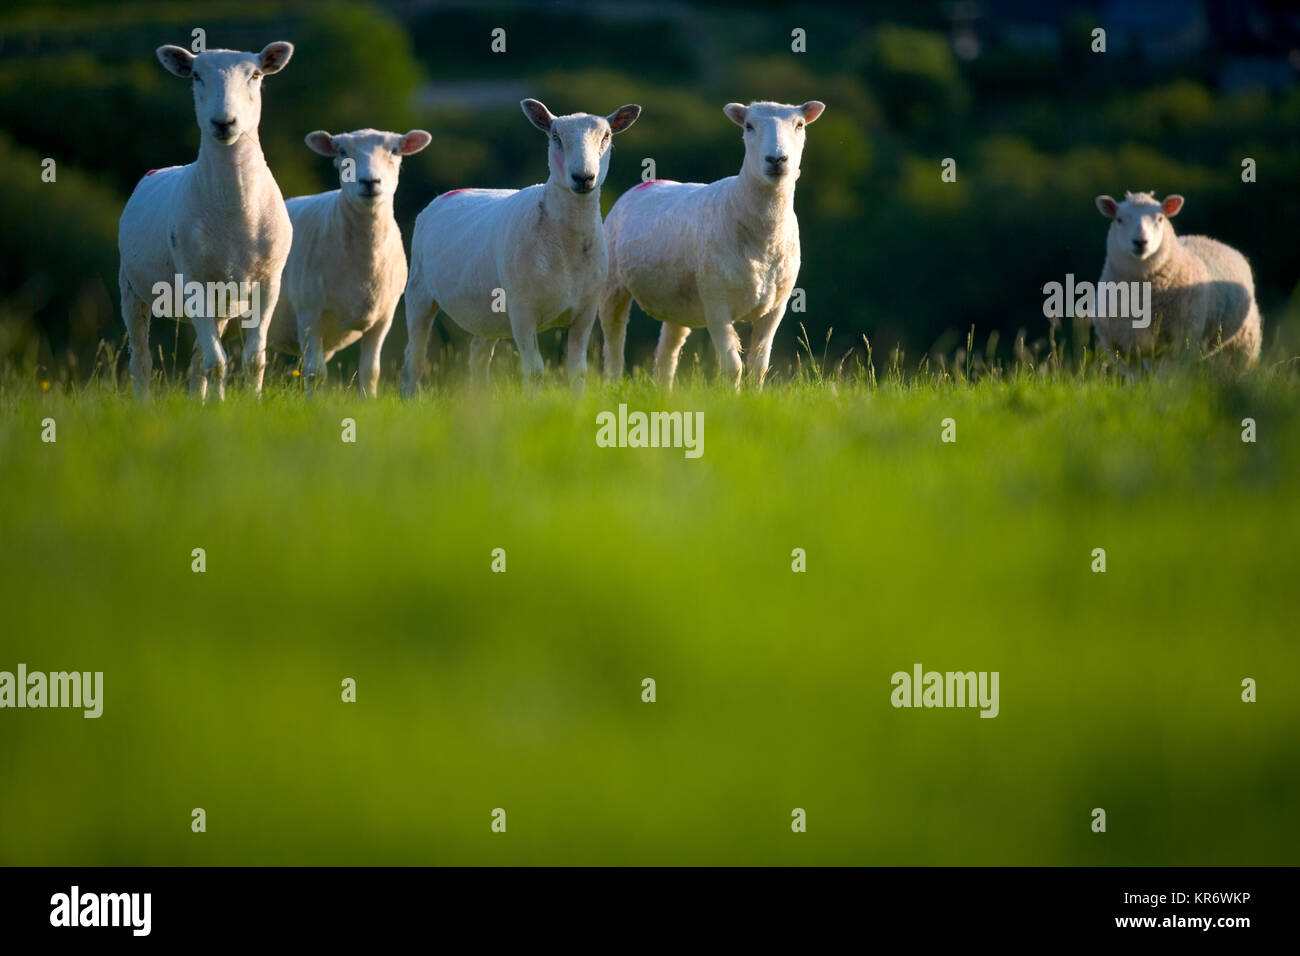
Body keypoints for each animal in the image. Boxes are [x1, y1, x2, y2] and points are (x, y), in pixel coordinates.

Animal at [117, 42, 295, 400]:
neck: (235, 210)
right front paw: (218, 406)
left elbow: (253, 359)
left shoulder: (269, 282)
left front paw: (249, 403)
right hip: (130, 287)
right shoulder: (194, 280)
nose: (224, 122)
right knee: (141, 361)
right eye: (196, 76)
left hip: (222, 301)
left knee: (198, 361)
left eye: (255, 75)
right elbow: (218, 363)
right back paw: (143, 404)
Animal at [266, 128, 432, 396]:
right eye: (342, 151)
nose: (370, 182)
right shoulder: (309, 315)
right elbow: (315, 373)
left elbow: (370, 372)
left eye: (395, 150)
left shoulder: (383, 319)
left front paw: (369, 401)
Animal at [402, 98, 641, 395]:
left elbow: (578, 372)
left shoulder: (585, 311)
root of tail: (447, 194)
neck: (566, 246)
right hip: (419, 291)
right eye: (555, 136)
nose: (583, 177)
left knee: (478, 357)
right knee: (414, 359)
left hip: (486, 311)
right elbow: (535, 371)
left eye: (606, 136)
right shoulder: (522, 310)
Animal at [599, 100, 825, 389]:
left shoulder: (776, 307)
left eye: (800, 125)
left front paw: (756, 396)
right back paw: (613, 383)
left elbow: (759, 367)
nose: (776, 159)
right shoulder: (716, 302)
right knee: (614, 345)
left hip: (678, 301)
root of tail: (649, 183)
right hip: (612, 285)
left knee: (666, 354)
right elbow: (733, 367)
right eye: (749, 126)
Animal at [1093, 191, 1262, 365]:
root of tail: (1209, 239)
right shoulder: (1122, 348)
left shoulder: (1179, 345)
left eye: (1160, 219)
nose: (1140, 242)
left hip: (1243, 343)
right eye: (1119, 219)